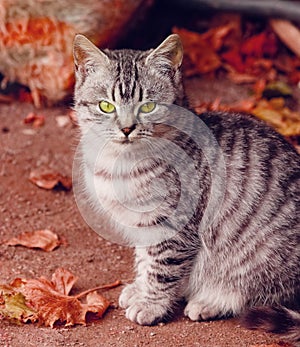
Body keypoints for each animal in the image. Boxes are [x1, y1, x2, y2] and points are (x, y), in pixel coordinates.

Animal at [72, 34, 300, 346]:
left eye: (147, 106)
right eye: (106, 106)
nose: (127, 128)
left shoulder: (173, 227)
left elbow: (161, 269)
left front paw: (150, 304)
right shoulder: (143, 226)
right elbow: (145, 260)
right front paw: (140, 288)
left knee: (257, 294)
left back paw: (211, 301)